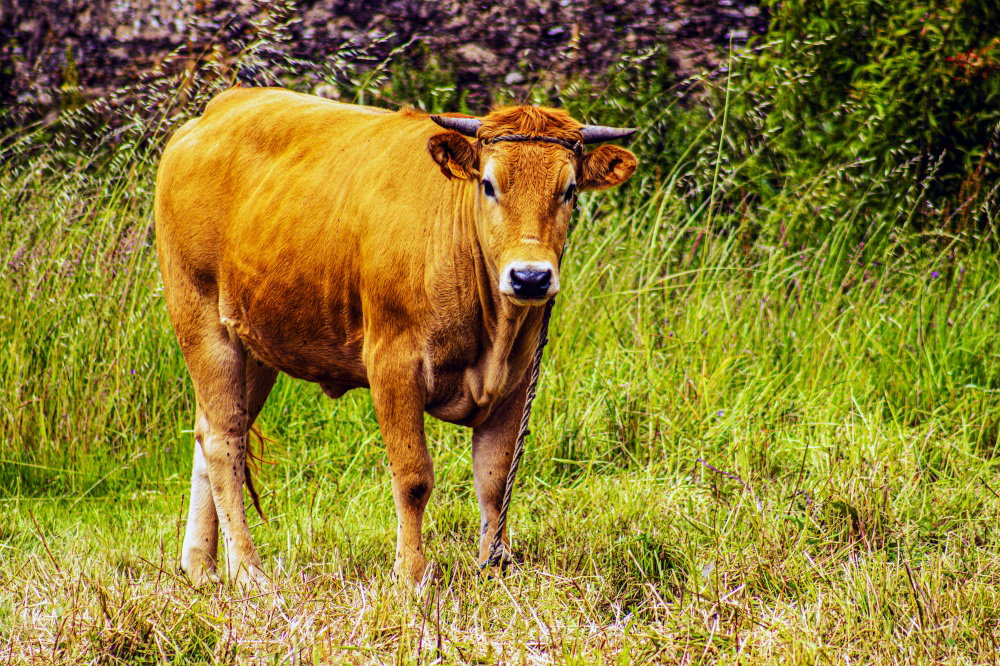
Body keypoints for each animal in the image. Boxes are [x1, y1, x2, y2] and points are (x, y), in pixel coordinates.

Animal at [154, 87, 637, 587]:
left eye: (569, 190)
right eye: (488, 184)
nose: (530, 278)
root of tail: (217, 110)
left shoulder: (516, 381)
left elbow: (495, 479)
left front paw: (493, 569)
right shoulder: (393, 365)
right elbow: (413, 476)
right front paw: (411, 575)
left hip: (255, 345)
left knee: (210, 433)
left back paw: (200, 564)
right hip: (201, 320)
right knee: (223, 439)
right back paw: (248, 569)